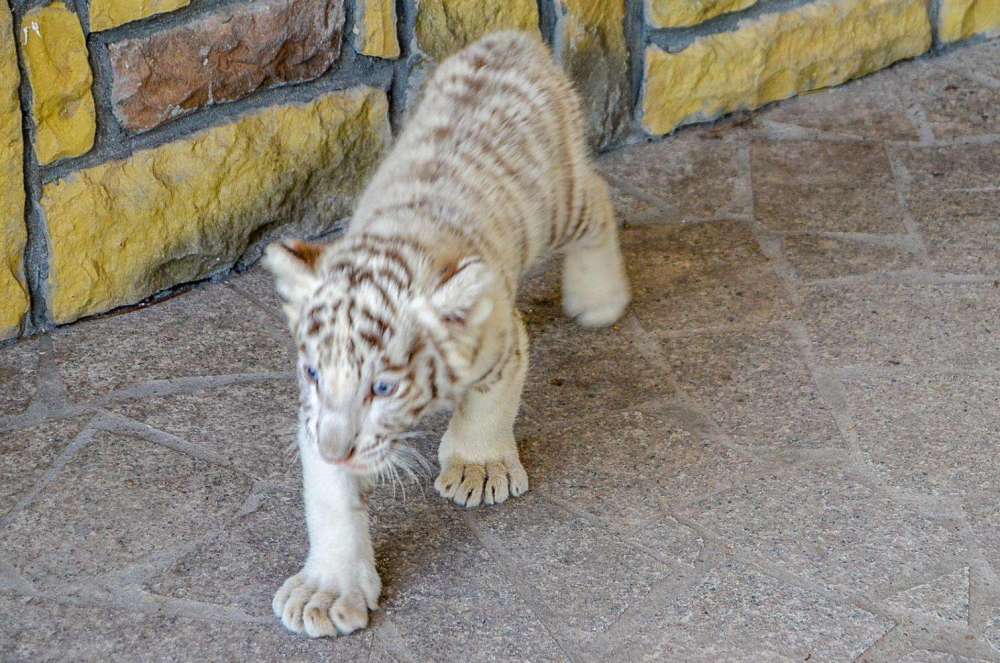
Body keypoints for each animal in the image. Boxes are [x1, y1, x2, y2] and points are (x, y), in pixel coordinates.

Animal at [264, 30, 630, 638]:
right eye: (314, 373)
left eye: (382, 388)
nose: (338, 450)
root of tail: (511, 40)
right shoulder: (312, 416)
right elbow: (330, 499)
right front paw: (327, 591)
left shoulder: (502, 337)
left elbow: (488, 406)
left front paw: (478, 470)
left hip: (558, 204)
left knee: (597, 197)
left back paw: (599, 300)